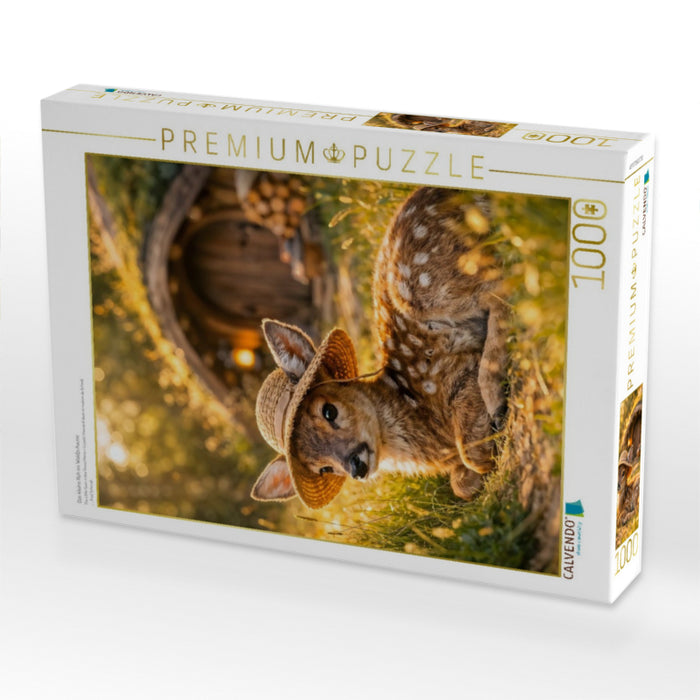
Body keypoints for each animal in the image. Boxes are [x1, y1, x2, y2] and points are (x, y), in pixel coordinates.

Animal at [252, 186, 508, 509]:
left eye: (329, 411)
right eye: (323, 468)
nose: (355, 465)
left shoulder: (453, 368)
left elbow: (471, 455)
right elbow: (460, 483)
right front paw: (470, 475)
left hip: (424, 287)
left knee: (501, 287)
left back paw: (496, 400)